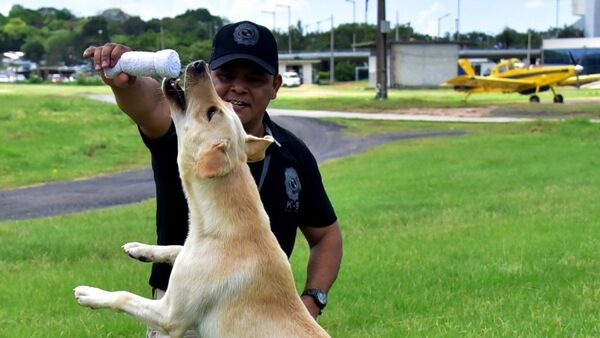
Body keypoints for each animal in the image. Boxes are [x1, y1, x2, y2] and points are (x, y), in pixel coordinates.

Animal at [74, 61, 332, 338]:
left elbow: (125, 297)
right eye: (225, 104)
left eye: (211, 112)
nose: (200, 65)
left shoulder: (170, 315)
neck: (226, 226)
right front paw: (140, 248)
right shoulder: (188, 254)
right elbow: (175, 248)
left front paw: (91, 294)